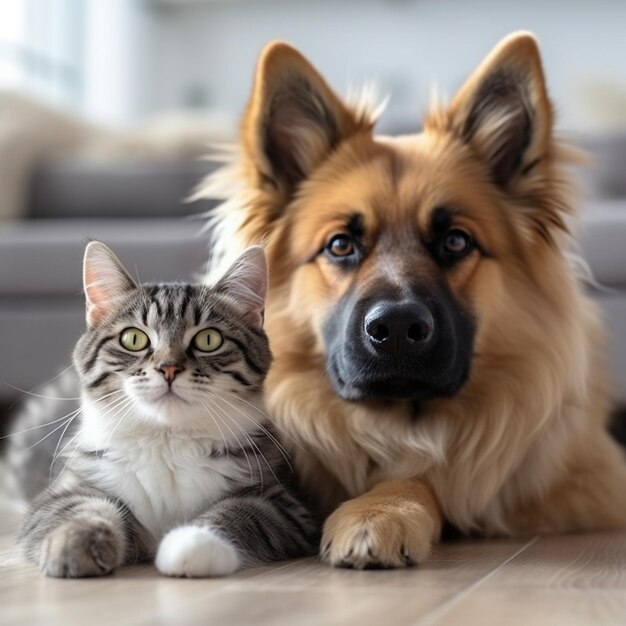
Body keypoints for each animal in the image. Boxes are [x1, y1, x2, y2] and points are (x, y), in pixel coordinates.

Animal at [13, 241, 316, 576]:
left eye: (208, 339)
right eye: (133, 339)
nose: (169, 368)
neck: (167, 440)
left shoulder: (287, 504)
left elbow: (241, 513)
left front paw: (192, 544)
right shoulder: (63, 490)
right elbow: (80, 508)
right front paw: (76, 541)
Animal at [197, 31, 624, 564]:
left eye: (456, 241)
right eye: (340, 245)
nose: (397, 329)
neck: (399, 422)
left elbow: (435, 473)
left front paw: (381, 510)